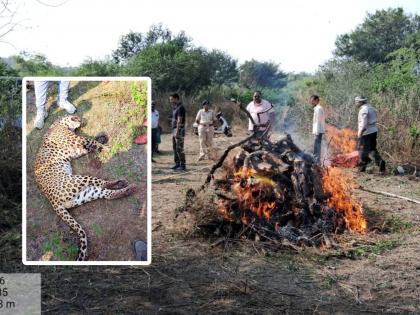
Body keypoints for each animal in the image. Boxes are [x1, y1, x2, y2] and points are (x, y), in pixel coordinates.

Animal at [34, 115, 136, 262]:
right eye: (79, 118)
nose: (83, 120)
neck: (59, 123)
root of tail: (52, 202)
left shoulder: (78, 148)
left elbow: (92, 144)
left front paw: (102, 139)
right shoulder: (77, 141)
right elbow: (93, 142)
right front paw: (108, 147)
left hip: (85, 194)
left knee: (107, 194)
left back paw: (127, 188)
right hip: (78, 180)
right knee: (103, 184)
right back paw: (121, 183)